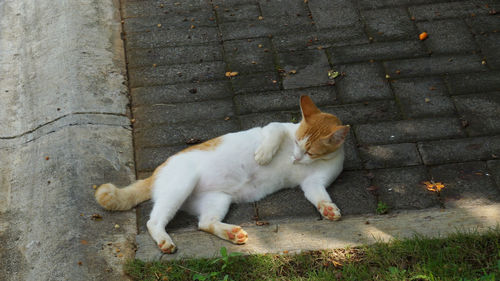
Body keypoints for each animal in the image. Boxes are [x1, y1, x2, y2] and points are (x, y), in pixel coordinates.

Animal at [95, 95, 350, 253]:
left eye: (310, 151)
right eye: (297, 143)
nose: (295, 158)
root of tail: (156, 171)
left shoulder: (313, 183)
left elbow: (319, 196)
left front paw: (328, 209)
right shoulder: (273, 127)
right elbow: (274, 133)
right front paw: (264, 155)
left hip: (218, 199)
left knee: (204, 223)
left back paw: (232, 234)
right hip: (182, 185)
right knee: (154, 221)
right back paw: (165, 241)